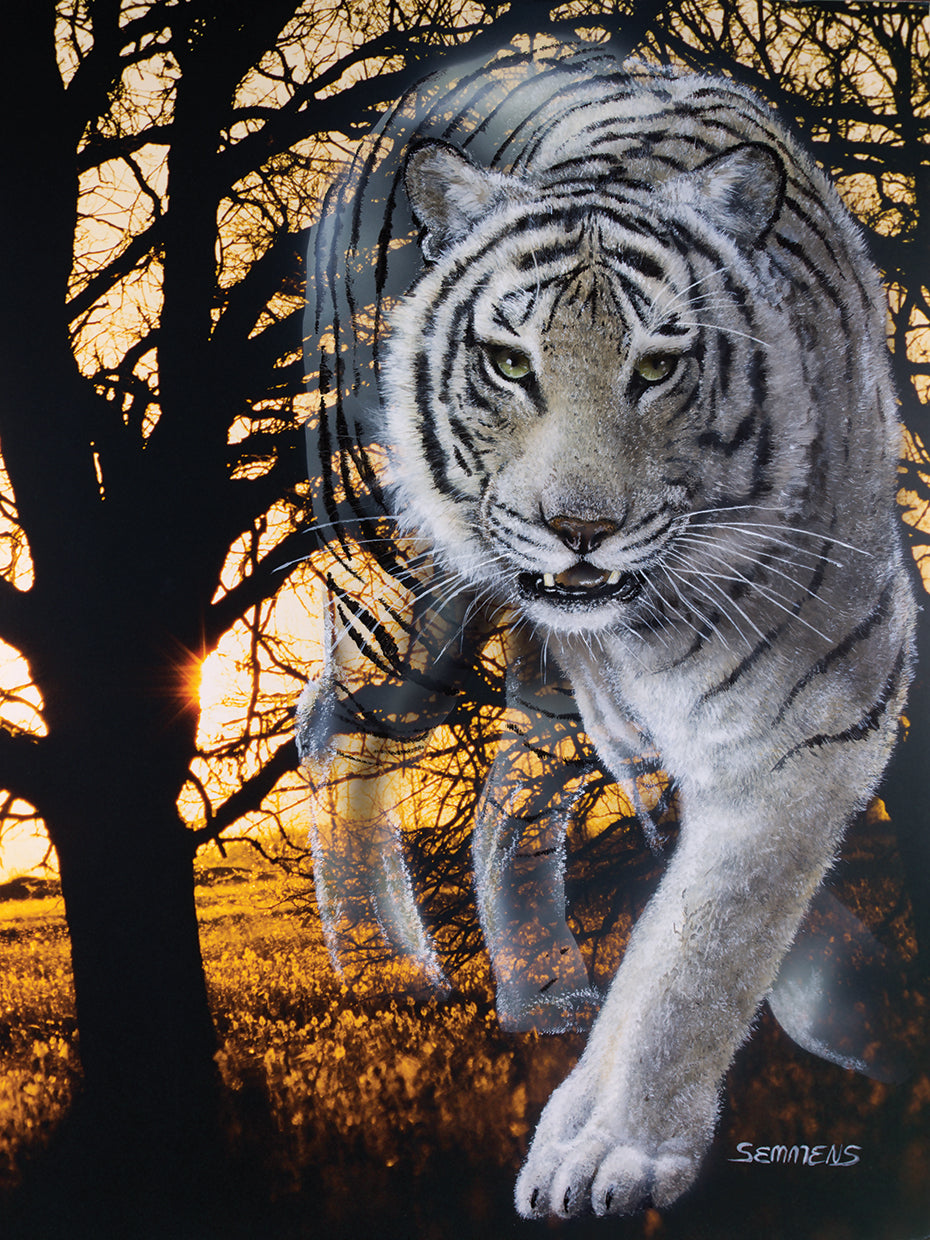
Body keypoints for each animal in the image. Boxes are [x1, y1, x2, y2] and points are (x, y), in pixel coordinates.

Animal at [300, 45, 916, 1219]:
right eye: (509, 361)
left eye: (658, 366)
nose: (578, 529)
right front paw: (617, 1148)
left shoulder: (805, 727)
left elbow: (696, 950)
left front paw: (604, 1138)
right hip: (400, 596)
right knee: (340, 721)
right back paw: (386, 968)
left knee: (509, 801)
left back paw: (542, 998)